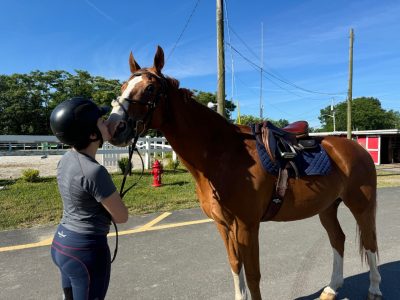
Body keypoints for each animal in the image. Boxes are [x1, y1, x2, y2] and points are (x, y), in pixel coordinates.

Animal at [108, 45, 382, 300]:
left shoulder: (247, 225)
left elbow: (252, 274)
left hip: (361, 205)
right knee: (338, 239)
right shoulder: (223, 225)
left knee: (369, 241)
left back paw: (374, 289)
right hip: (327, 207)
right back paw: (332, 288)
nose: (113, 127)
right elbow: (235, 266)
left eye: (150, 88)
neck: (223, 154)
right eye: (123, 86)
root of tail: (356, 148)